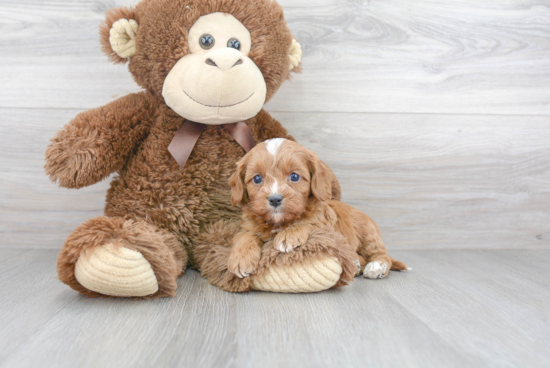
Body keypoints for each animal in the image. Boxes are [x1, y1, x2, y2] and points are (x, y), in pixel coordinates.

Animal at [229, 139, 410, 280]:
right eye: (257, 178)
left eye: (294, 176)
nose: (275, 199)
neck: (279, 222)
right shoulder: (249, 225)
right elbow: (245, 236)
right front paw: (241, 259)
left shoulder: (325, 224)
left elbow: (308, 222)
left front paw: (289, 235)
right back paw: (356, 264)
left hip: (368, 235)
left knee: (380, 253)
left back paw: (376, 267)